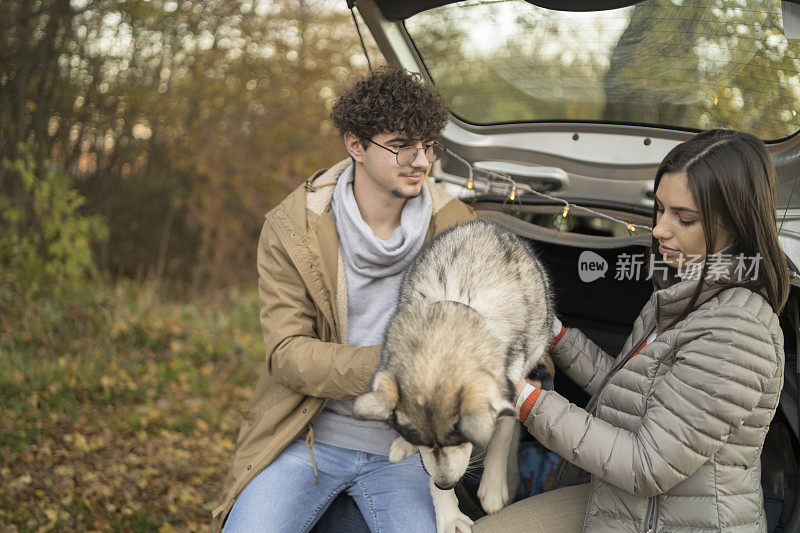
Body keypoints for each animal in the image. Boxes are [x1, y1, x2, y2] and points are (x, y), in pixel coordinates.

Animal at [354, 218, 552, 528]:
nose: (445, 484)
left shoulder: (515, 379)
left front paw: (493, 487)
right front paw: (448, 513)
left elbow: (503, 431)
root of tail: (488, 223)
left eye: (461, 440)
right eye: (422, 442)